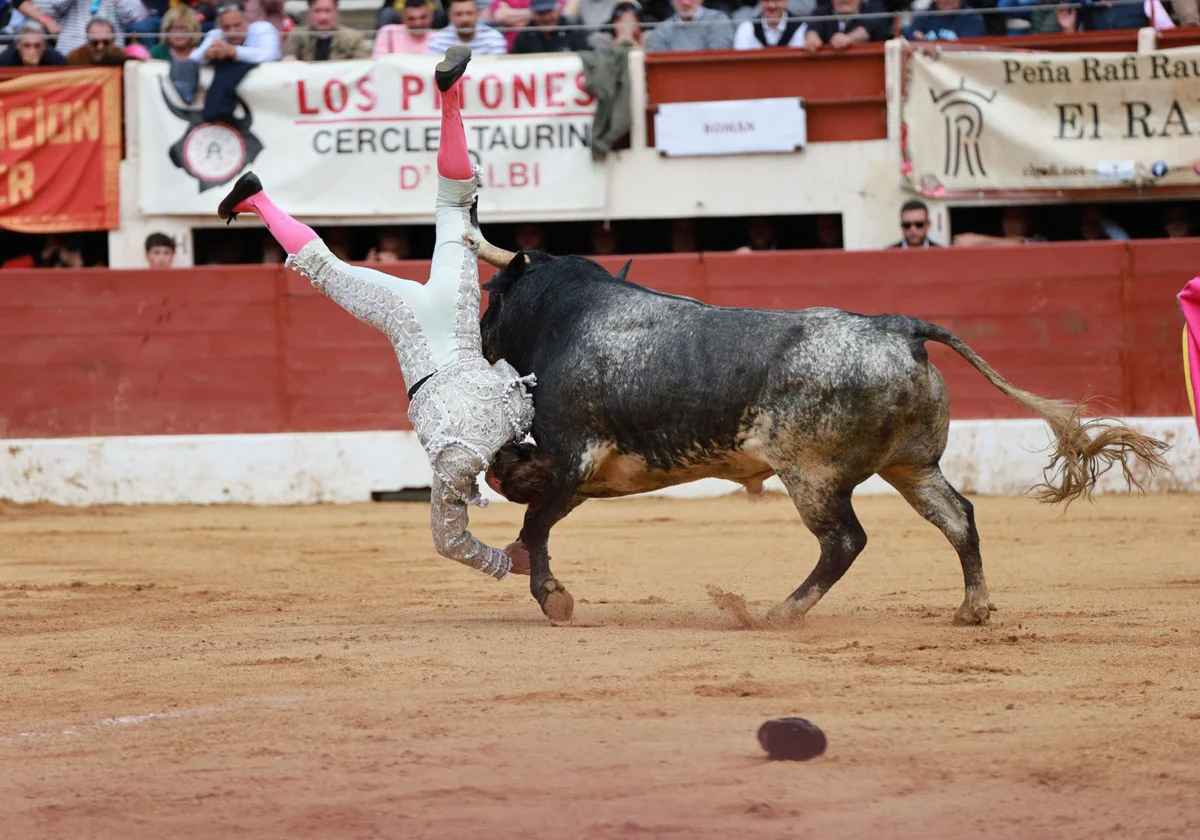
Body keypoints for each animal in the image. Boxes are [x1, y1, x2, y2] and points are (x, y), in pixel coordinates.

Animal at [470, 232, 1171, 628]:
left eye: (490, 296)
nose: (477, 340)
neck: (565, 317)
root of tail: (898, 326)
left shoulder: (575, 455)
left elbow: (536, 521)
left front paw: (553, 599)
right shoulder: (588, 472)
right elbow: (527, 503)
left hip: (811, 475)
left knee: (845, 541)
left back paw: (779, 613)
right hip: (912, 465)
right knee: (958, 517)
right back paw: (973, 608)